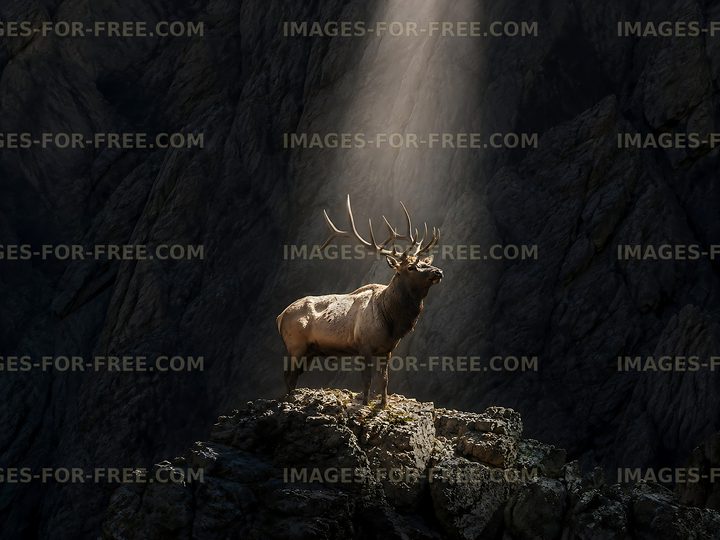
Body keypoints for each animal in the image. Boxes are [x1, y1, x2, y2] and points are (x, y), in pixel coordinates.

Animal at [276, 195, 443, 408]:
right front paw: (364, 403)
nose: (438, 271)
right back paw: (289, 400)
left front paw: (383, 404)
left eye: (424, 262)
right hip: (295, 345)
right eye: (411, 267)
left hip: (309, 351)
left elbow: (384, 379)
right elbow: (367, 380)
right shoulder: (364, 345)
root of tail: (280, 316)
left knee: (294, 375)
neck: (392, 320)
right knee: (288, 375)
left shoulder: (387, 350)